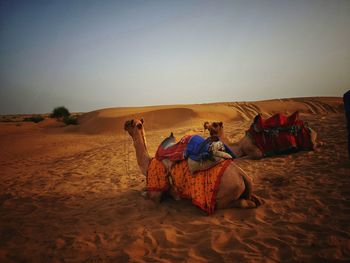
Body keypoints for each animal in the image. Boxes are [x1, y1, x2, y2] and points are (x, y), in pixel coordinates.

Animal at [123, 118, 260, 213]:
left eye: (131, 122)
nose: (124, 123)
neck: (148, 163)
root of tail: (243, 175)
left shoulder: (156, 192)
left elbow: (143, 194)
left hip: (223, 197)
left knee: (243, 203)